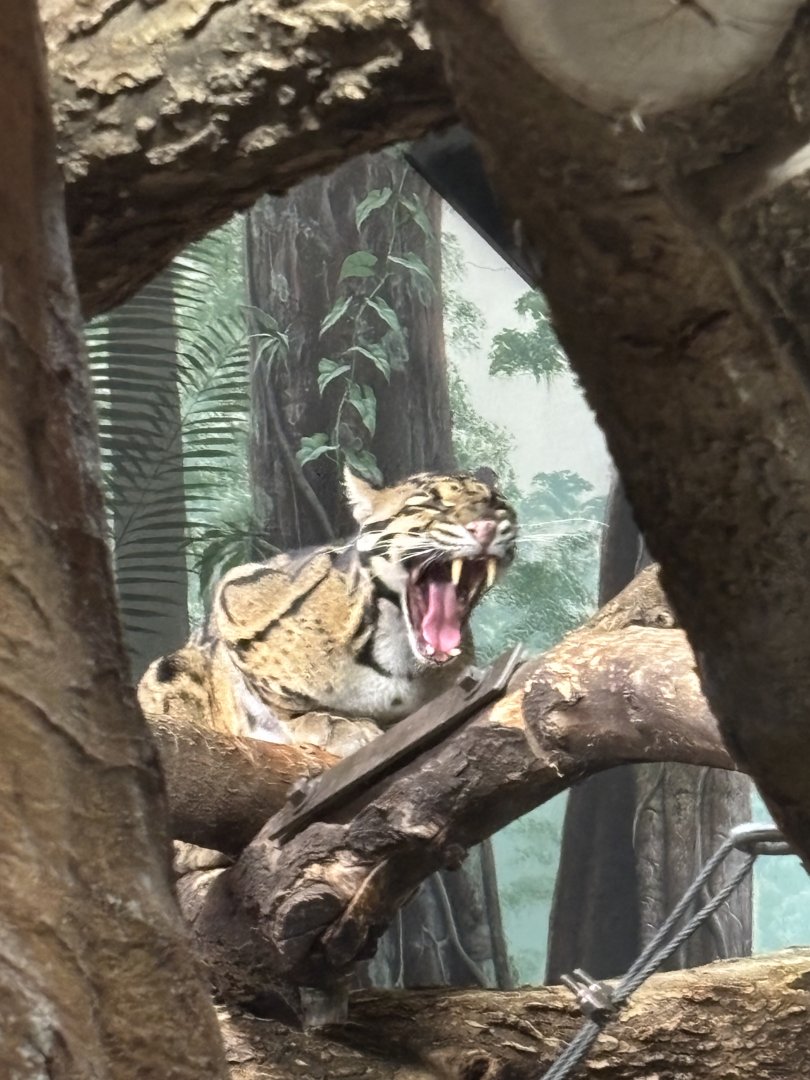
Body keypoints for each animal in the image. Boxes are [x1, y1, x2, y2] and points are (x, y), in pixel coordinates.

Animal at [138, 467, 518, 749]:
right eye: (432, 505)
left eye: (499, 508)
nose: (486, 527)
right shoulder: (235, 592)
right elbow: (275, 697)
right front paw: (331, 723)